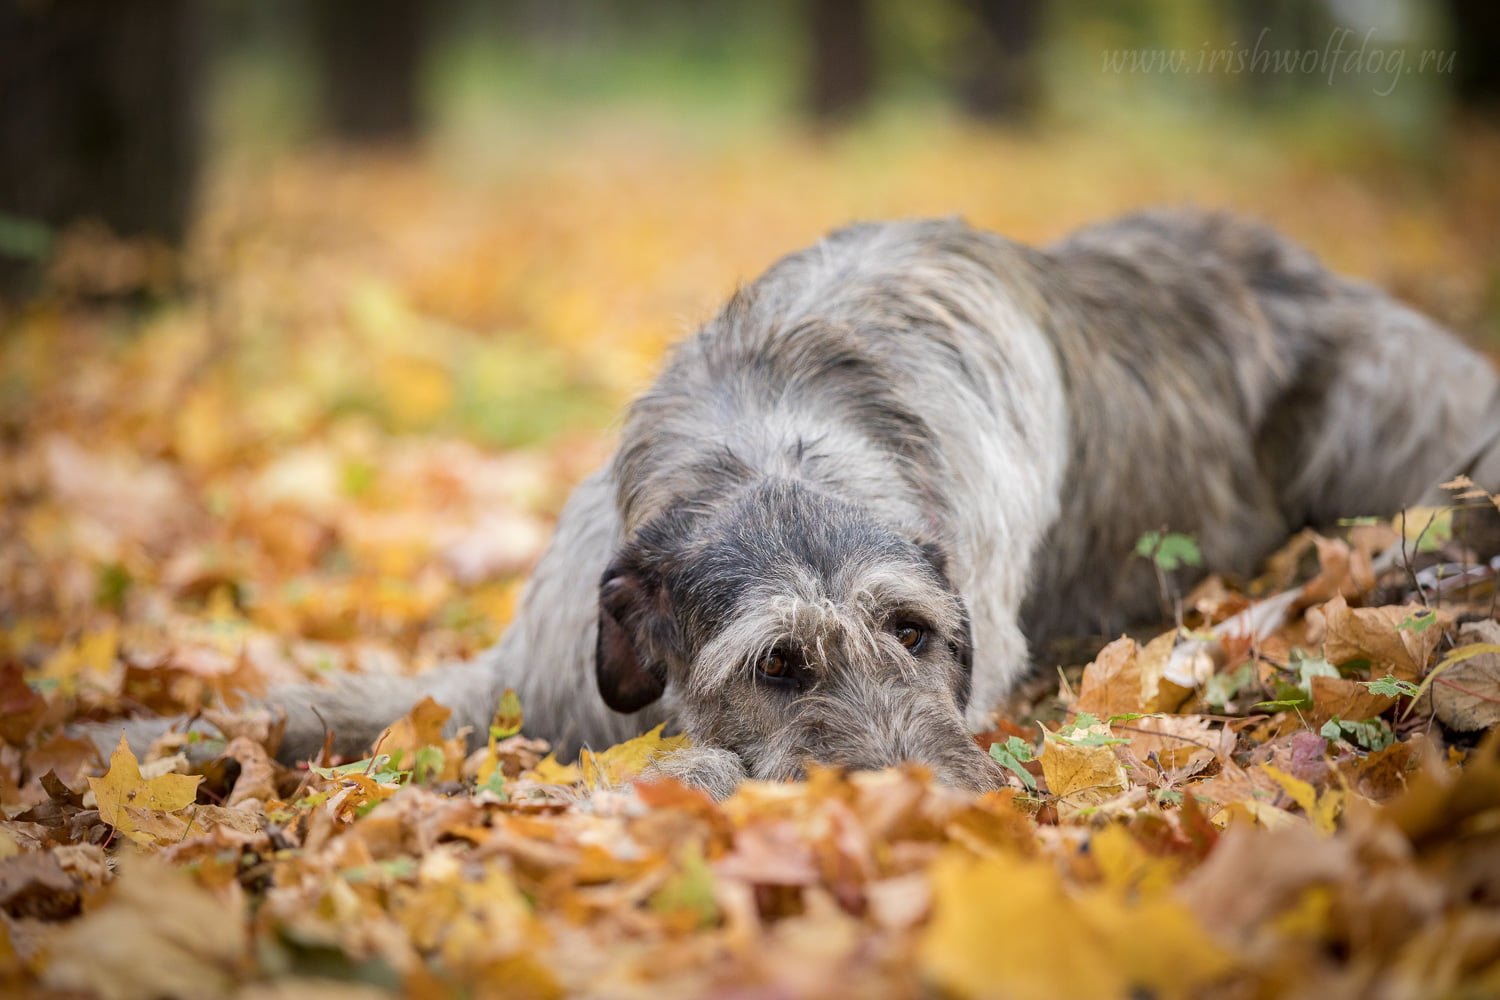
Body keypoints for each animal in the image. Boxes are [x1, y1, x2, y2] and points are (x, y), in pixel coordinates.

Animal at [108, 209, 1500, 797]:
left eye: (917, 633)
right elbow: (331, 701)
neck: (772, 417)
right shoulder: (539, 667)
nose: (940, 812)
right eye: (778, 662)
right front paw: (142, 733)